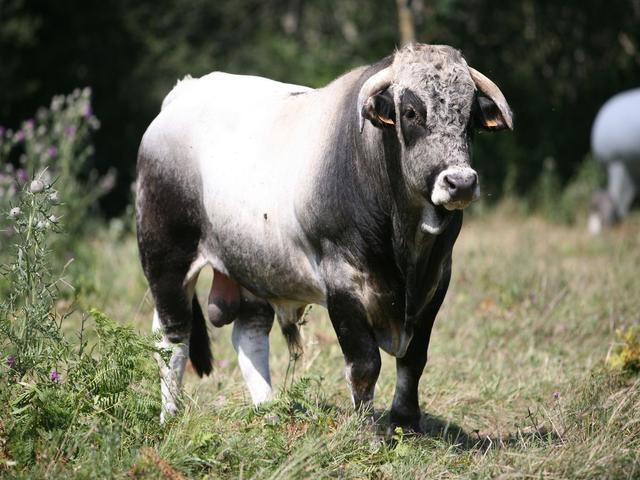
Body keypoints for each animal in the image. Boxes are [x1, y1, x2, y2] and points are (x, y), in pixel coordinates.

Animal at [136, 43, 513, 431]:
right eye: (411, 112)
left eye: (470, 116)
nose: (460, 182)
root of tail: (184, 92)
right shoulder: (343, 282)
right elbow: (364, 364)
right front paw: (367, 429)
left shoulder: (436, 280)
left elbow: (414, 359)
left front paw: (406, 422)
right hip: (166, 259)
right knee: (172, 337)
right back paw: (170, 414)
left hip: (253, 266)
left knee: (248, 334)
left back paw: (268, 410)